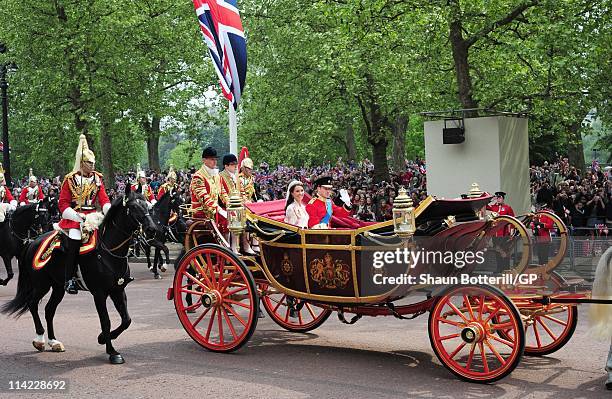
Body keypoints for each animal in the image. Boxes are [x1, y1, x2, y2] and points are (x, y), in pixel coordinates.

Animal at [1, 186, 158, 364]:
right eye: (133, 208)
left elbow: (127, 320)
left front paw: (102, 338)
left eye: (147, 206)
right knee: (32, 304)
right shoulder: (99, 293)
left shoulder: (118, 290)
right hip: (41, 284)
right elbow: (106, 321)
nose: (152, 229)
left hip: (58, 287)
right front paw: (112, 351)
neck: (109, 250)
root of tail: (33, 242)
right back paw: (39, 340)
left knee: (49, 310)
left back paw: (54, 342)